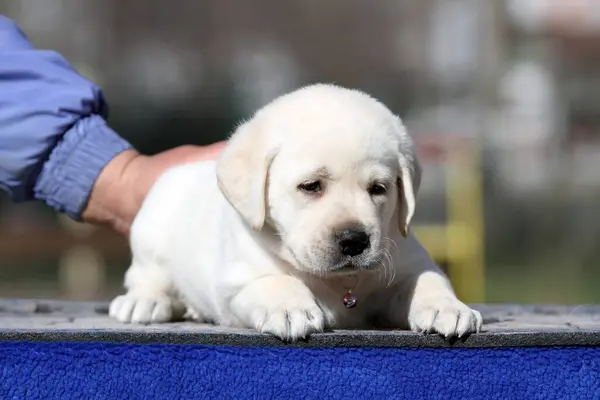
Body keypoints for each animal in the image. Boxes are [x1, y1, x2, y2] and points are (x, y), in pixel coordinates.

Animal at [108, 84, 482, 340]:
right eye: (311, 186)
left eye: (379, 188)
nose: (354, 240)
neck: (337, 282)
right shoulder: (236, 282)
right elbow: (275, 280)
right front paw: (290, 308)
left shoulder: (406, 262)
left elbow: (428, 279)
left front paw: (447, 307)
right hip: (150, 235)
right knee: (146, 276)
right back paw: (144, 302)